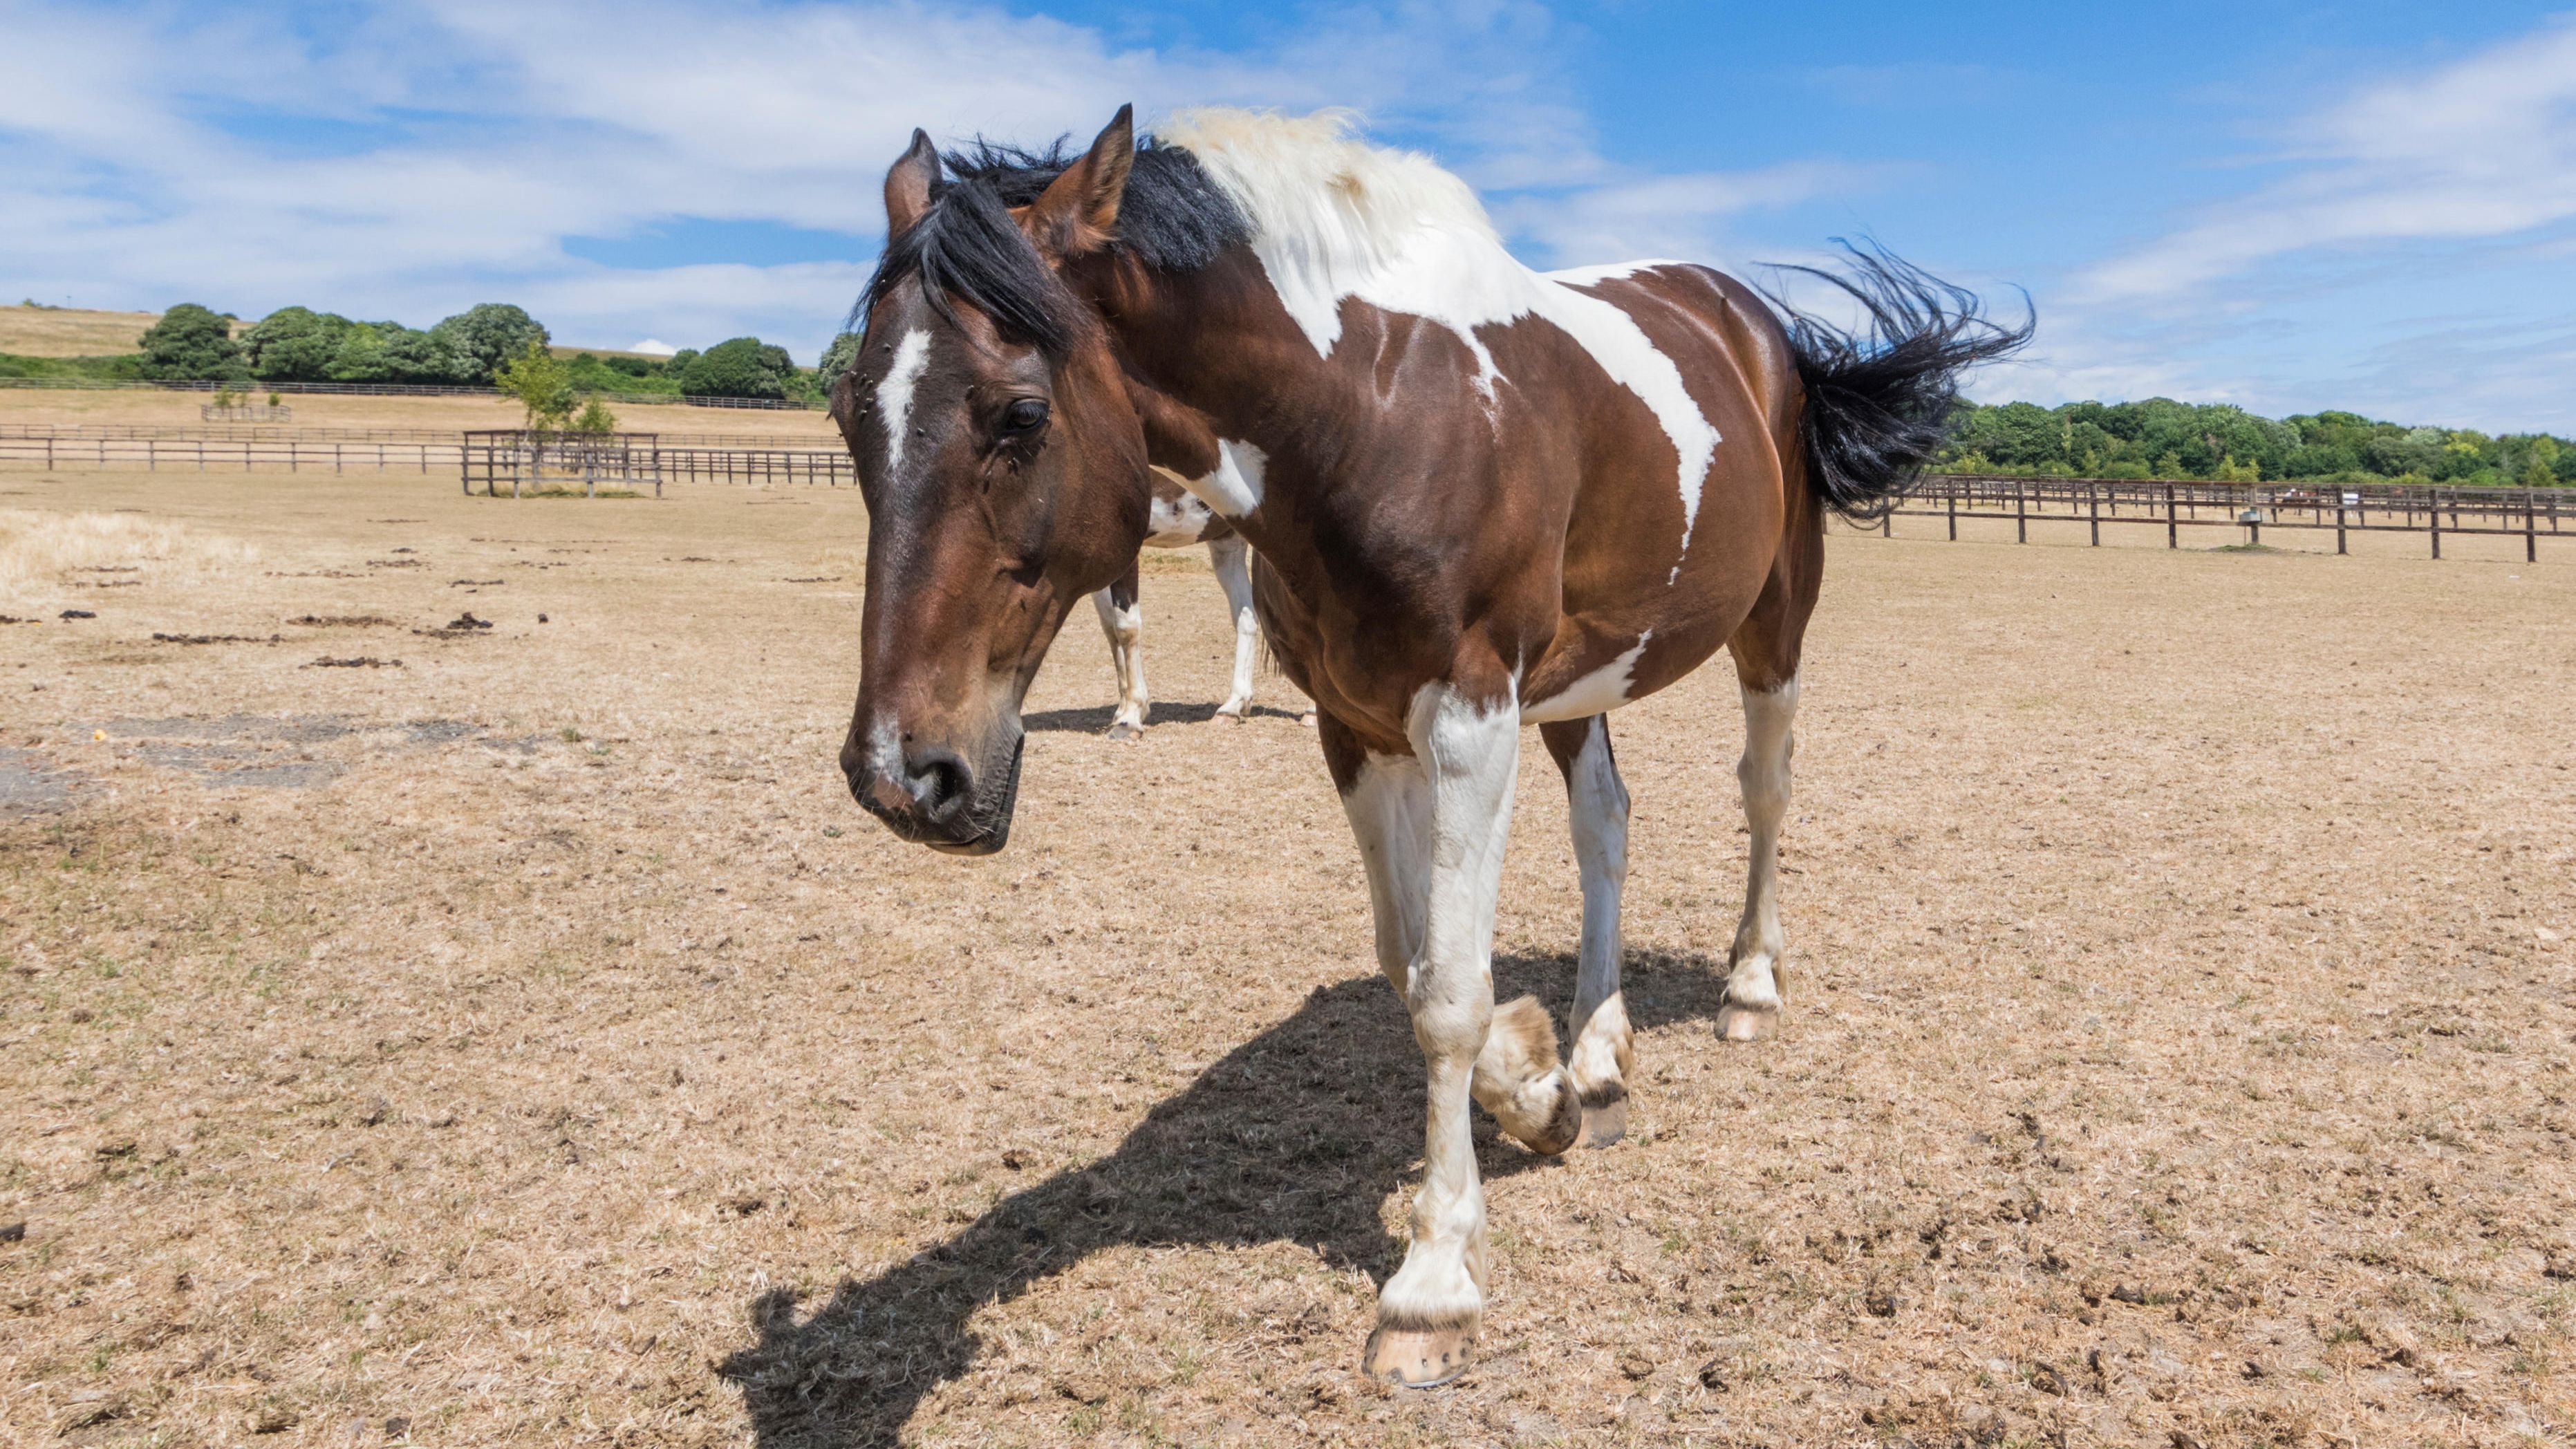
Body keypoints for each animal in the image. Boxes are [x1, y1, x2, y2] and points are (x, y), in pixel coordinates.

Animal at [833, 105, 2028, 1387]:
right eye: (850, 416)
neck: (1370, 410)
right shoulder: (1358, 730)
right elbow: (1414, 965)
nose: (903, 775)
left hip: (1774, 617)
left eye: (1020, 415)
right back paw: (1598, 1052)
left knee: (1765, 791)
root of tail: (1756, 326)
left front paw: (1435, 1279)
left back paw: (1749, 984)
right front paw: (1542, 1084)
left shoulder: (1468, 719)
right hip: (1576, 683)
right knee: (1606, 824)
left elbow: (1448, 995)